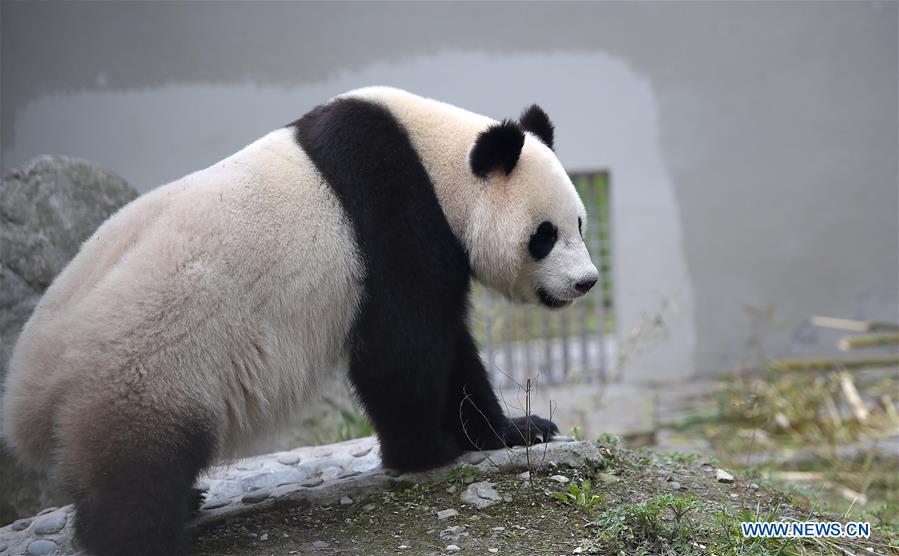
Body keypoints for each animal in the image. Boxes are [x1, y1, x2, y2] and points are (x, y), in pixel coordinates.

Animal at [3, 88, 596, 556]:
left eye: (580, 224)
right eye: (544, 235)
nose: (586, 282)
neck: (436, 158)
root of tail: (32, 390)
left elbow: (450, 349)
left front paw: (516, 430)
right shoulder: (390, 217)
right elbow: (401, 348)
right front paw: (427, 450)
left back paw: (189, 498)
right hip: (142, 370)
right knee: (135, 486)